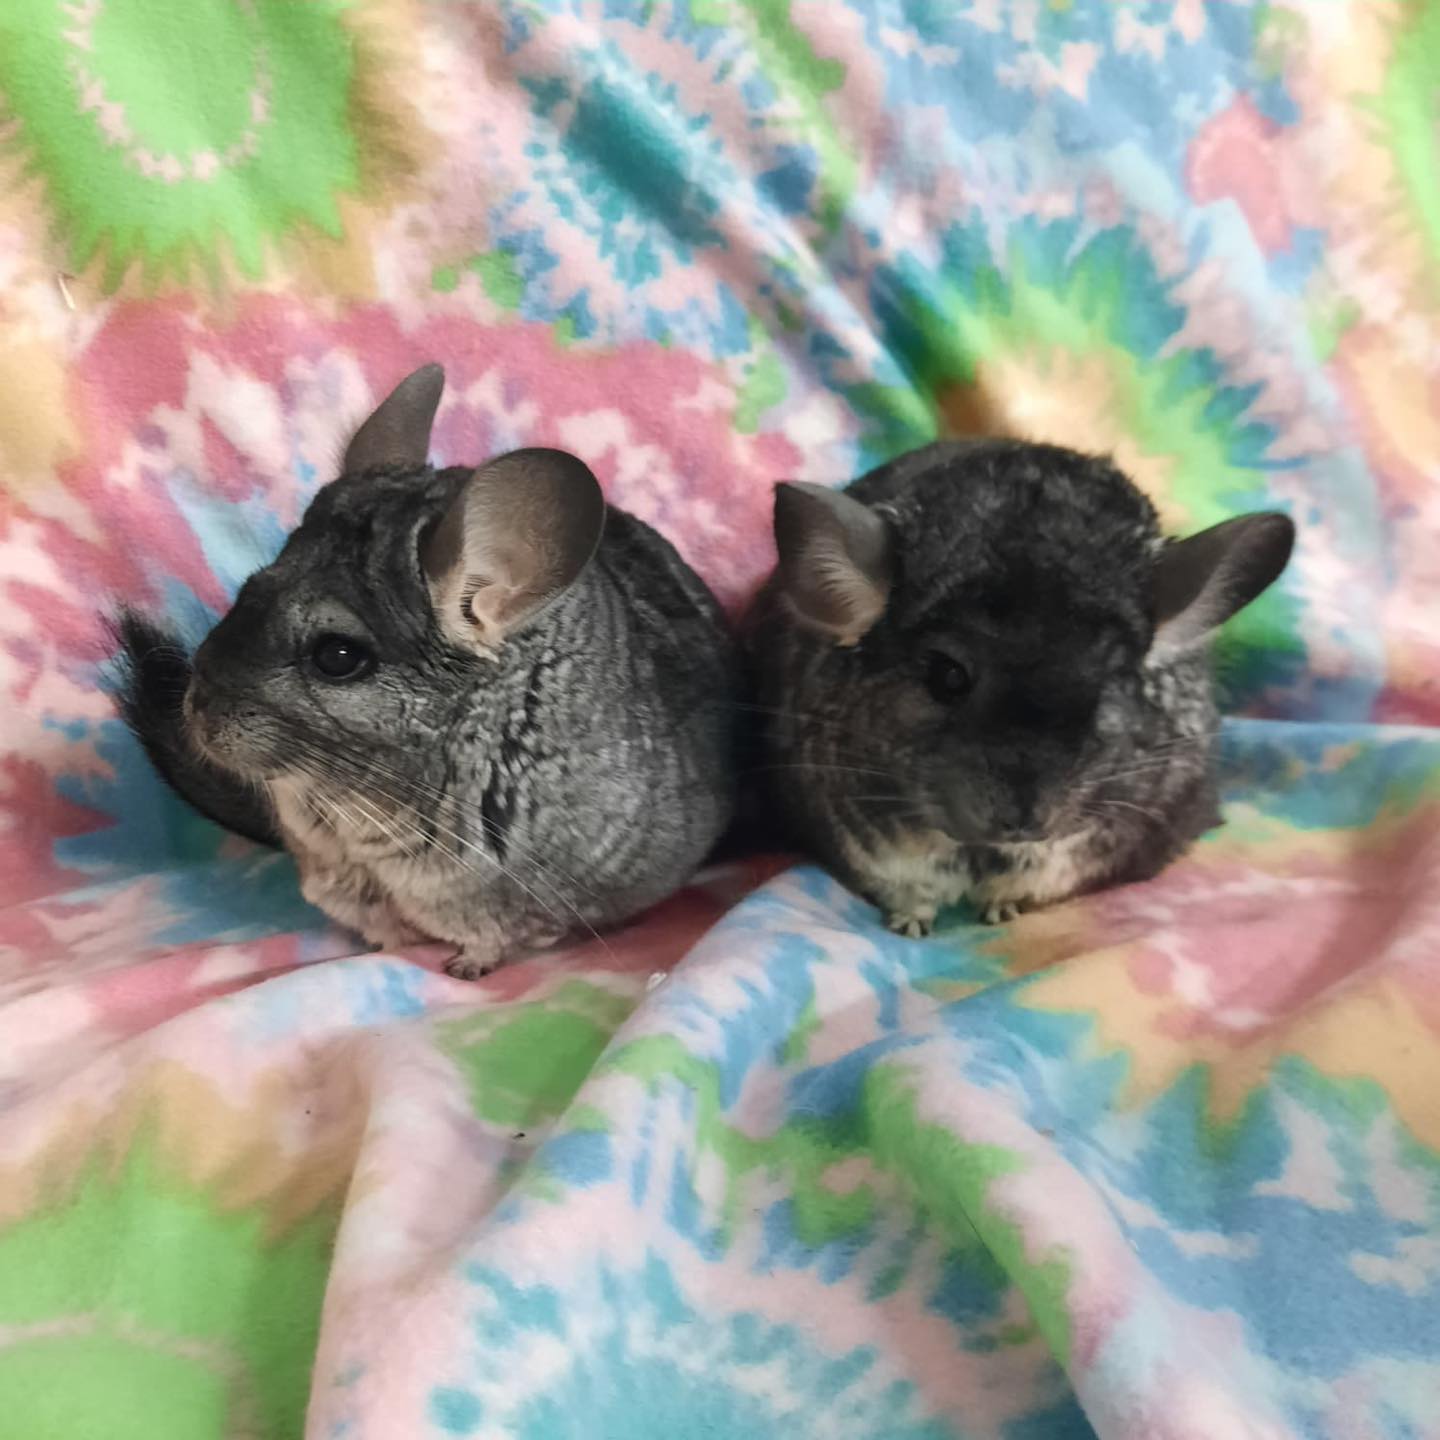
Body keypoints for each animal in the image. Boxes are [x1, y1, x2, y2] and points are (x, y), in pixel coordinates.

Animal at [114, 364, 736, 978]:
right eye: (248, 590)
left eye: (337, 656)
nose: (195, 711)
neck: (354, 806)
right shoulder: (341, 883)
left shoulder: (521, 901)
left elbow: (506, 938)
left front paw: (466, 968)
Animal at [743, 438, 1295, 936]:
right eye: (947, 677)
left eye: (1109, 684)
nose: (1026, 818)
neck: (980, 853)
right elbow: (907, 891)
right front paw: (911, 924)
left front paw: (1001, 909)